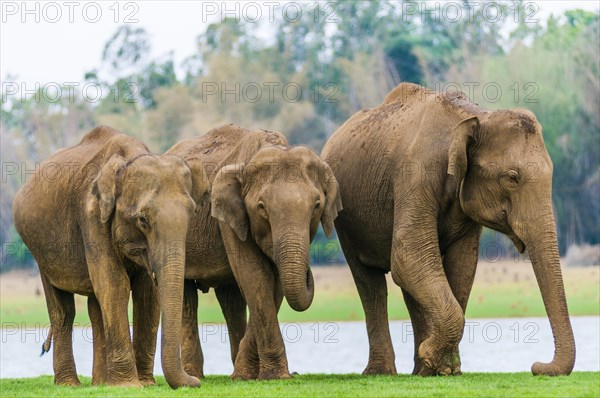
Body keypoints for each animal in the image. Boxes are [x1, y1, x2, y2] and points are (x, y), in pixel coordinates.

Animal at [12, 126, 209, 388]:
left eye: (192, 214)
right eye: (142, 220)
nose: (195, 381)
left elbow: (147, 293)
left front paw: (145, 384)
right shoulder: (91, 217)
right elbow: (114, 284)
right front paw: (129, 385)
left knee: (95, 308)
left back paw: (100, 383)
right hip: (39, 251)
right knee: (62, 310)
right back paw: (69, 384)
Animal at [166, 124, 342, 380]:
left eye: (317, 206)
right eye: (261, 208)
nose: (310, 273)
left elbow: (272, 283)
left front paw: (249, 375)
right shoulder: (228, 219)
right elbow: (256, 275)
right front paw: (273, 376)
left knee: (231, 300)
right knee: (187, 298)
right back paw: (195, 376)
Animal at [322, 83, 576, 376]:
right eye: (512, 178)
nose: (536, 365)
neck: (476, 117)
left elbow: (461, 265)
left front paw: (445, 369)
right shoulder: (415, 174)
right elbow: (409, 254)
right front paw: (433, 357)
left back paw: (420, 371)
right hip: (344, 219)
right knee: (370, 283)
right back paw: (382, 371)